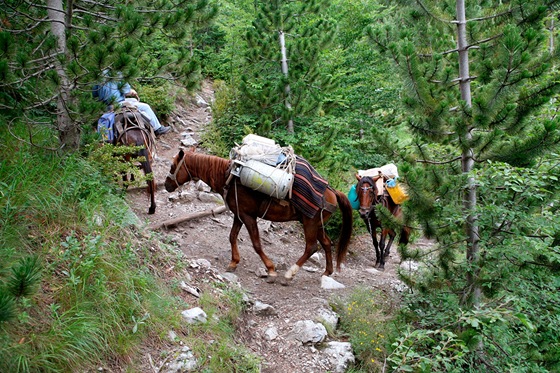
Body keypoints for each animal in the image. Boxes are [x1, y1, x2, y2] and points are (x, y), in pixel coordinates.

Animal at [164, 147, 352, 284]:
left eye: (173, 166)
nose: (166, 185)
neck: (229, 177)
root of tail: (332, 191)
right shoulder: (239, 215)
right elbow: (232, 236)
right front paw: (233, 262)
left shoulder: (248, 217)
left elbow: (256, 244)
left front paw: (271, 269)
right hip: (317, 224)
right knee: (326, 243)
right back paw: (327, 272)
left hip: (310, 223)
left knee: (312, 247)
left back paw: (289, 274)